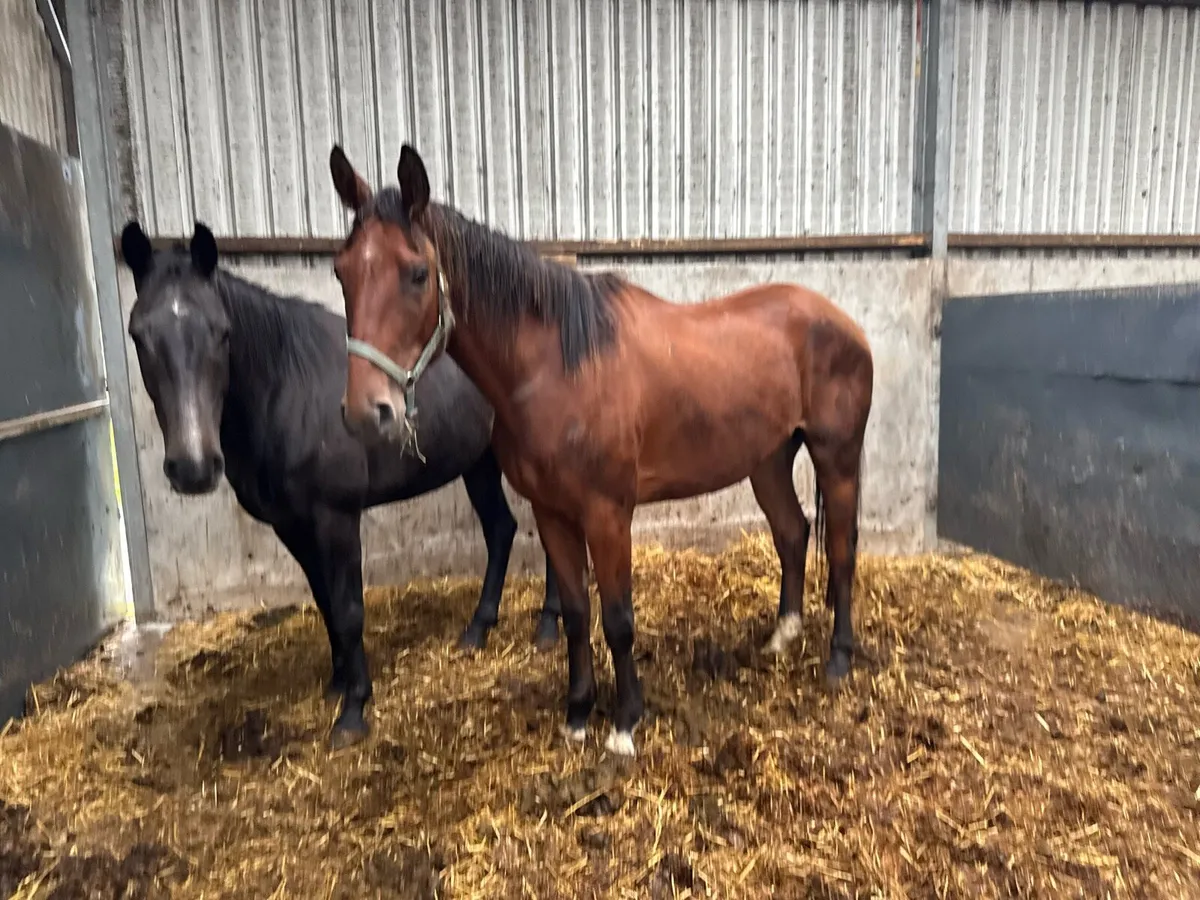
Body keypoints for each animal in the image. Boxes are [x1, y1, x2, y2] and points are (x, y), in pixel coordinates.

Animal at [119, 219, 563, 749]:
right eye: (139, 335)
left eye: (221, 332)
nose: (193, 467)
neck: (286, 387)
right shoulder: (292, 525)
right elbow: (324, 599)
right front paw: (337, 681)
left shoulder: (337, 516)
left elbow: (349, 608)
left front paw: (354, 710)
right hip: (478, 460)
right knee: (500, 530)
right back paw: (477, 630)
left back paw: (548, 628)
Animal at [326, 144, 874, 758]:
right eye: (342, 272)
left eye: (417, 274)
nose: (367, 411)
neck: (556, 368)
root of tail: (844, 323)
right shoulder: (552, 513)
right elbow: (574, 613)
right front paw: (578, 714)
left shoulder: (608, 514)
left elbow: (617, 619)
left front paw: (626, 723)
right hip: (769, 459)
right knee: (793, 532)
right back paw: (782, 635)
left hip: (836, 456)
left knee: (843, 547)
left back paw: (838, 659)